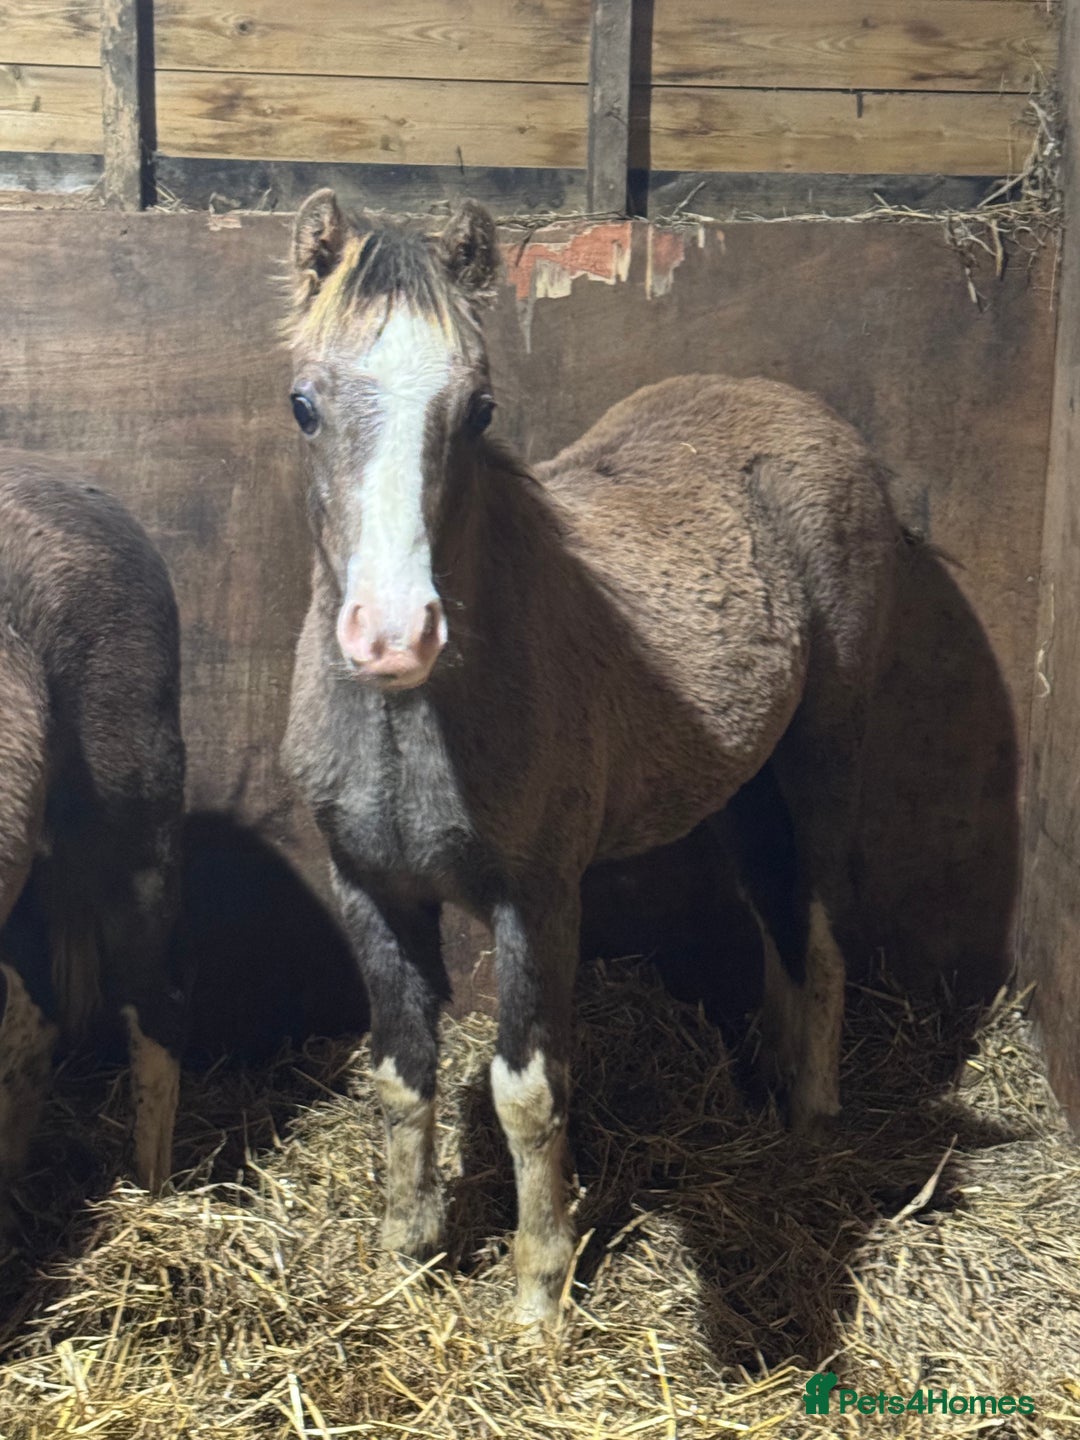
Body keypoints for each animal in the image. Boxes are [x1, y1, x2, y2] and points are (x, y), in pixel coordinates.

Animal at [280, 190, 897, 1324]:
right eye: (305, 404)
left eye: (477, 409)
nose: (393, 636)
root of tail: (806, 414)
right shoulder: (370, 887)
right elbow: (400, 1073)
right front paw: (406, 1255)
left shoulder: (537, 898)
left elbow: (527, 1091)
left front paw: (538, 1297)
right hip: (742, 786)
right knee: (776, 917)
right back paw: (770, 1077)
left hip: (827, 750)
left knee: (823, 925)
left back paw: (813, 1118)